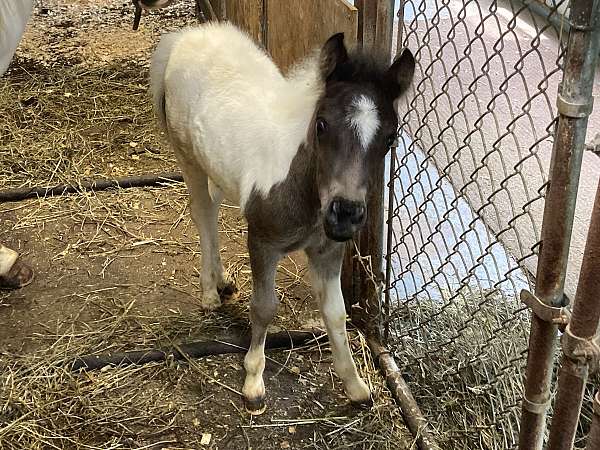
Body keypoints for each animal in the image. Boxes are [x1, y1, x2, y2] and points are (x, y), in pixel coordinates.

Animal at [151, 22, 412, 414]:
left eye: (391, 136)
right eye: (321, 125)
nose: (345, 214)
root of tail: (186, 36)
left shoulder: (328, 250)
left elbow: (336, 313)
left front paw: (356, 386)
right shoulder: (262, 241)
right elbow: (264, 308)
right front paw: (253, 382)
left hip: (215, 166)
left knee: (212, 206)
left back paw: (223, 281)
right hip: (187, 157)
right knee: (203, 213)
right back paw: (209, 292)